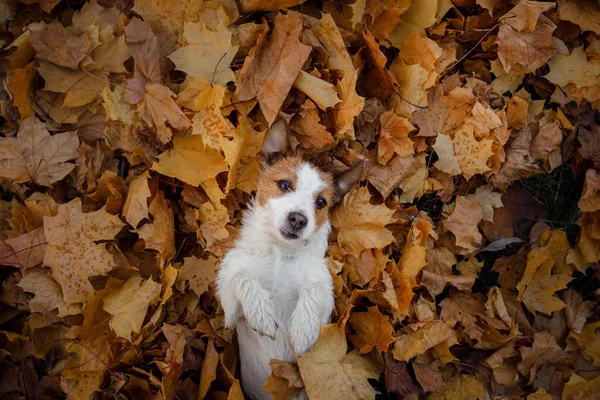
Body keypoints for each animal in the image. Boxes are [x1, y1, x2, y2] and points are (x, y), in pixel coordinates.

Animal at [218, 119, 364, 400]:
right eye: (284, 185)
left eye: (321, 202)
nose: (298, 219)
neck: (280, 252)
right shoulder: (232, 310)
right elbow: (243, 276)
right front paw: (262, 314)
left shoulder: (325, 302)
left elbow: (315, 288)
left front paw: (303, 329)